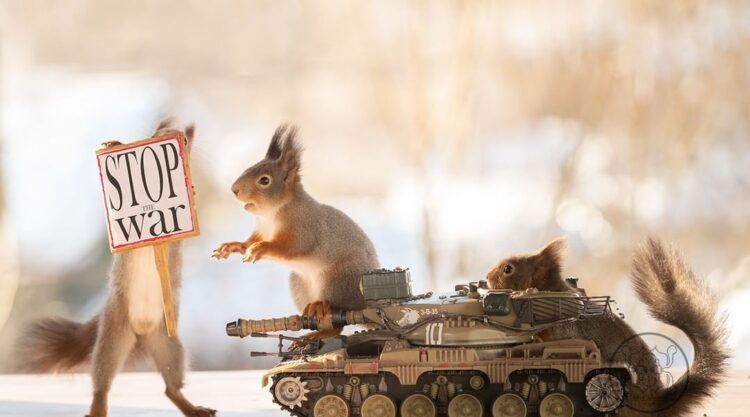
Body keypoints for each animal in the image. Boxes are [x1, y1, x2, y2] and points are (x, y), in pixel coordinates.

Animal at [18, 119, 217, 416]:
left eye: (184, 139)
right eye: (156, 133)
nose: (169, 137)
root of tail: (142, 331)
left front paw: (190, 190)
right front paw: (113, 144)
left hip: (169, 343)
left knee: (170, 386)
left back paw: (192, 408)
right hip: (113, 335)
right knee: (102, 383)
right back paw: (98, 408)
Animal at [213, 123, 382, 338]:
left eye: (264, 181)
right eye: (249, 167)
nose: (234, 189)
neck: (270, 214)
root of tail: (365, 306)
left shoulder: (304, 228)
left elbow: (291, 247)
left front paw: (260, 249)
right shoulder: (261, 229)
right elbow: (247, 242)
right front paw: (232, 246)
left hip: (339, 280)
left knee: (338, 317)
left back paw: (320, 310)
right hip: (298, 285)